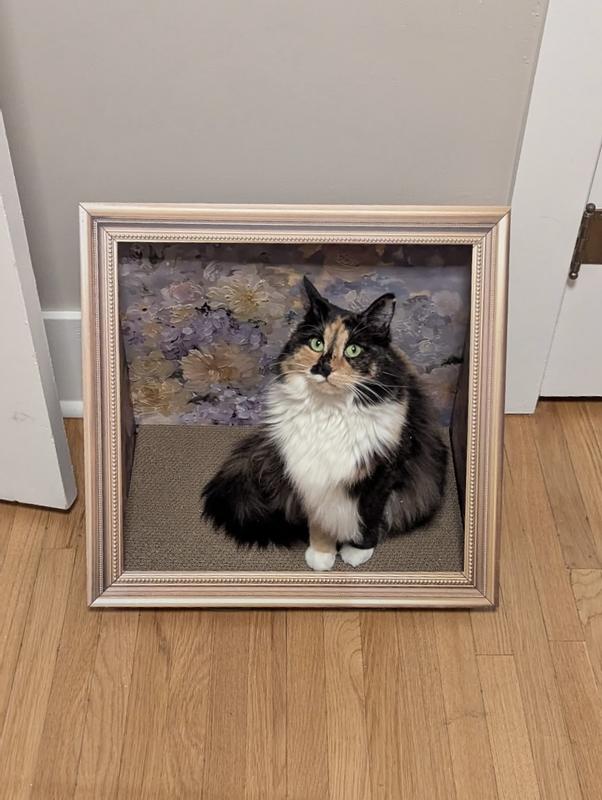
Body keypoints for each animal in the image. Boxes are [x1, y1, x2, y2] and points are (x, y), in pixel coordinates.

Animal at [202, 276, 448, 571]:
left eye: (353, 349)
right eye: (317, 343)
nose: (323, 368)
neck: (330, 412)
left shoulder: (383, 473)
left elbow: (368, 516)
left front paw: (357, 550)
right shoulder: (310, 474)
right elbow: (319, 519)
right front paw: (322, 553)